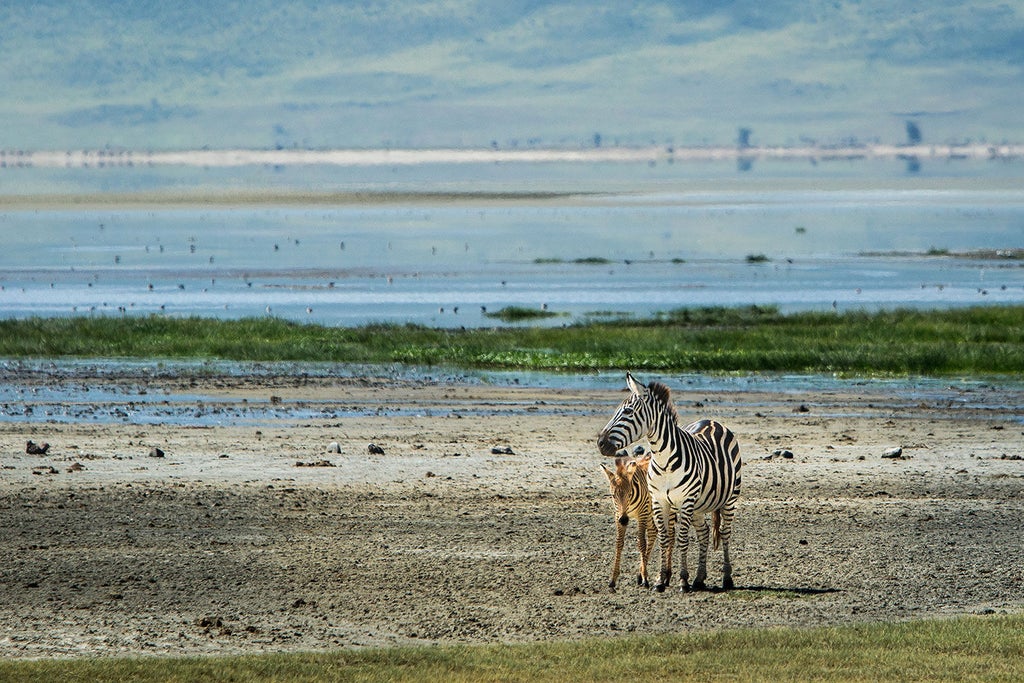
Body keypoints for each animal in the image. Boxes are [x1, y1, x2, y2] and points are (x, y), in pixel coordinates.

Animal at [598, 450, 655, 589]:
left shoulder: (642, 514)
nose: (624, 520)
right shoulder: (617, 515)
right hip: (651, 514)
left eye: (629, 494)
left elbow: (641, 543)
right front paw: (613, 579)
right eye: (613, 496)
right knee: (653, 533)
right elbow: (619, 543)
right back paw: (640, 574)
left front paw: (645, 578)